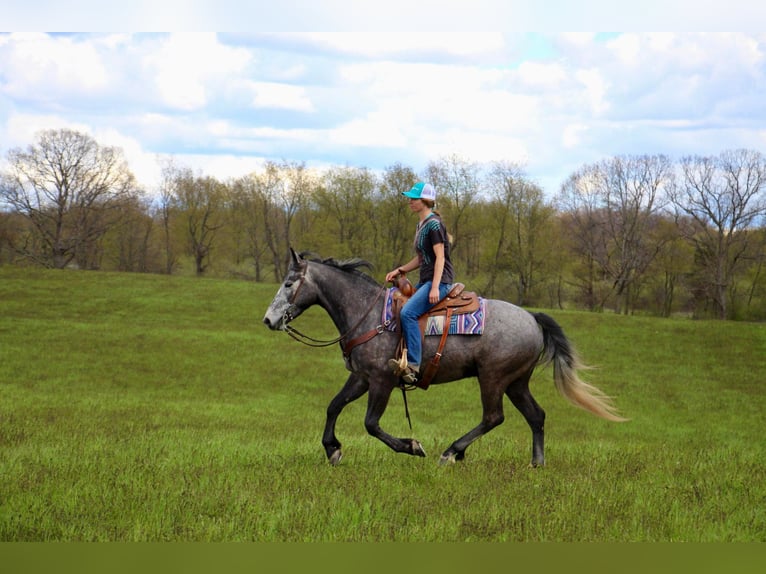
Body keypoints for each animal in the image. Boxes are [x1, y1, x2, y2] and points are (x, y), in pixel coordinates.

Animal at [260, 251, 628, 468]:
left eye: (289, 283)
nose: (269, 319)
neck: (368, 314)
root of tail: (532, 318)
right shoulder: (362, 377)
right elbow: (334, 406)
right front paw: (332, 449)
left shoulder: (382, 380)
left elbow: (371, 423)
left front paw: (412, 446)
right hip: (516, 382)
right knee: (536, 416)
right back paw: (536, 464)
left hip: (493, 378)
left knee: (494, 417)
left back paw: (452, 452)